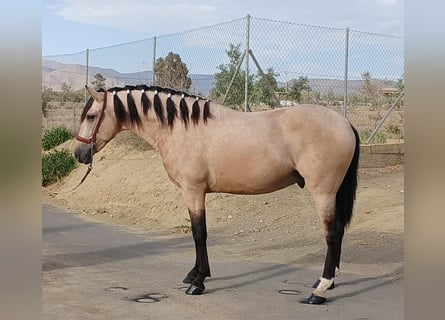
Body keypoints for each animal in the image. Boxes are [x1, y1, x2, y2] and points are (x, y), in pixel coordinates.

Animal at [73, 85, 358, 304]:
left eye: (91, 116)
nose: (79, 154)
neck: (181, 128)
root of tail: (345, 123)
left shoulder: (194, 191)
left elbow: (199, 233)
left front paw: (197, 282)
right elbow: (198, 233)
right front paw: (193, 275)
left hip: (323, 192)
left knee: (332, 234)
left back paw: (320, 290)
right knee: (339, 232)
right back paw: (326, 282)